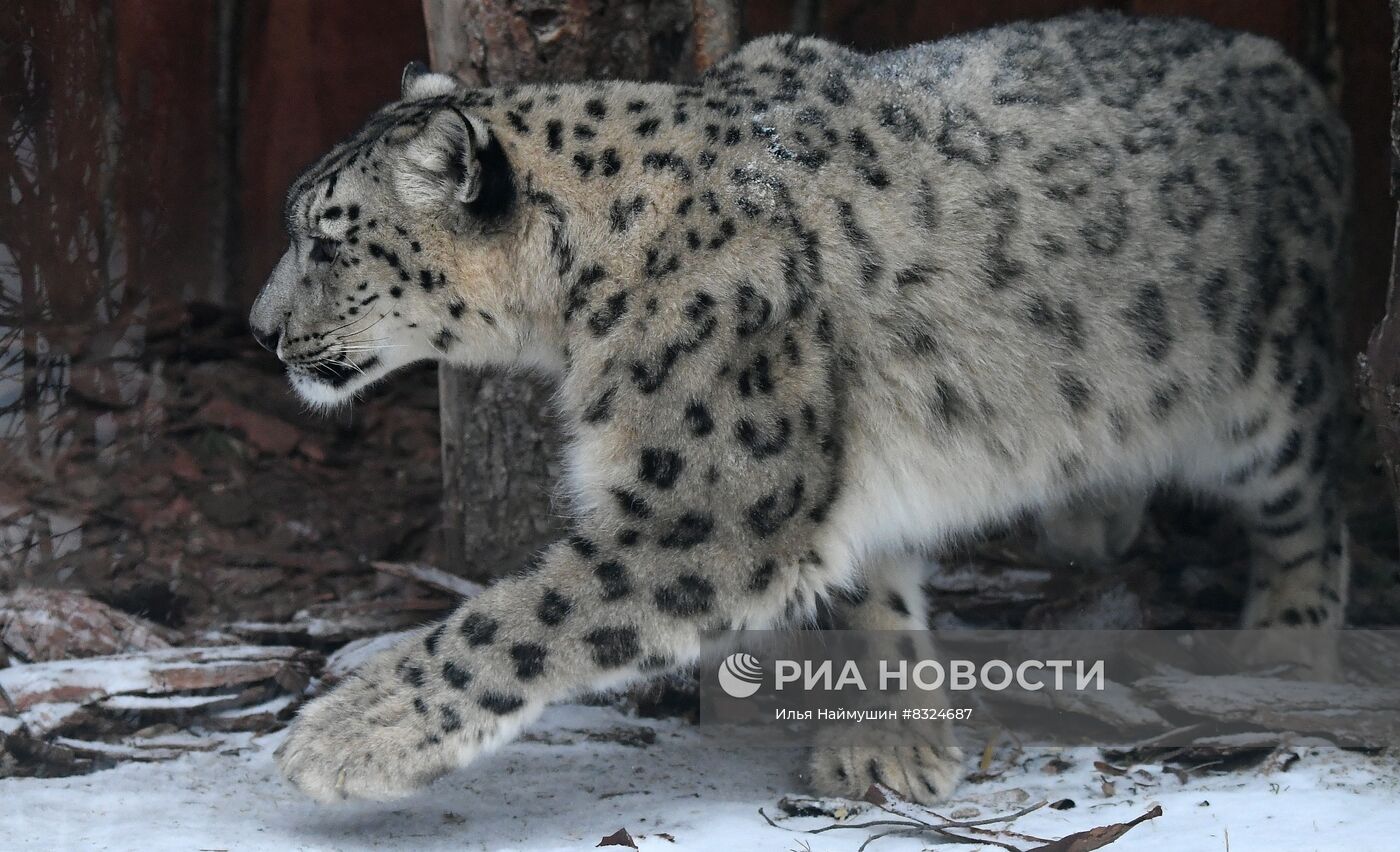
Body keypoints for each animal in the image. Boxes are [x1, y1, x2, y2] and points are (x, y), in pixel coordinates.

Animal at [249, 9, 1344, 800]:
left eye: (328, 240)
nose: (259, 330)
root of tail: (1293, 78)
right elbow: (870, 596)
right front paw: (887, 742)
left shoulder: (711, 504)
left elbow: (520, 620)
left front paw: (349, 736)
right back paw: (1090, 512)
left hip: (1261, 394)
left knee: (1309, 502)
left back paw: (1287, 639)